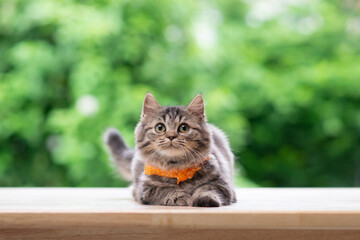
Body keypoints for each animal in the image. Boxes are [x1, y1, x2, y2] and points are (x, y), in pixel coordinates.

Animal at [104, 93, 236, 207]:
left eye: (183, 128)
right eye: (160, 127)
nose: (171, 136)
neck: (177, 169)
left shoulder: (220, 184)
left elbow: (207, 189)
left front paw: (204, 200)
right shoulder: (146, 188)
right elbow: (168, 190)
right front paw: (184, 198)